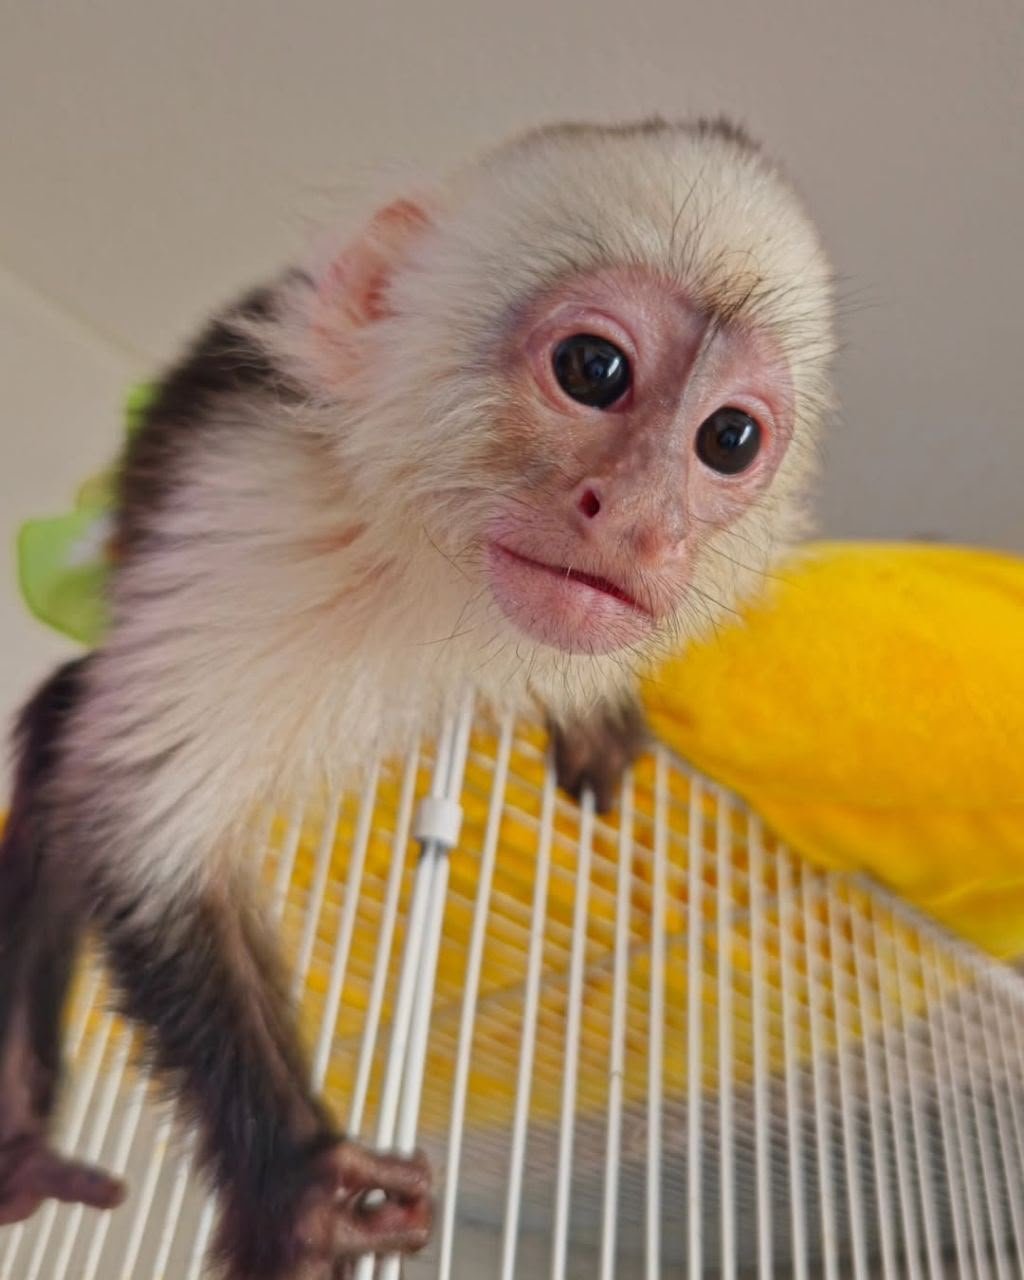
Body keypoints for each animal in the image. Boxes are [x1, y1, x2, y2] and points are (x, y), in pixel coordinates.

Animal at [0, 117, 834, 1277]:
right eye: (594, 369)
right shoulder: (257, 496)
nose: (640, 521)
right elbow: (148, 822)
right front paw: (300, 1180)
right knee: (69, 725)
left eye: (729, 439)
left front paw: (590, 708)